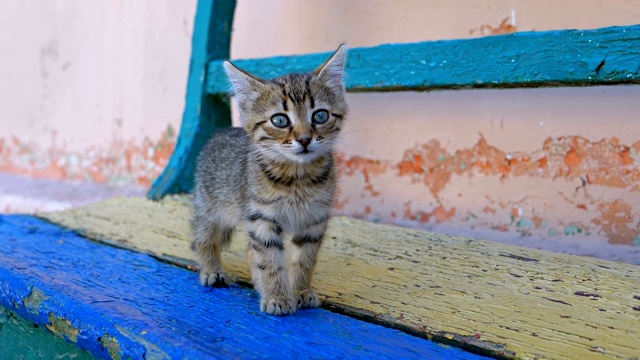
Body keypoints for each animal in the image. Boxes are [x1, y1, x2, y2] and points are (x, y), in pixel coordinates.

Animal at [191, 45, 348, 316]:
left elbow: (304, 259)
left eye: (320, 116)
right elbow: (270, 260)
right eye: (280, 120)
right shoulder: (262, 218)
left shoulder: (314, 219)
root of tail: (220, 132)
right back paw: (212, 269)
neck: (298, 178)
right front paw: (277, 296)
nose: (305, 139)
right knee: (205, 237)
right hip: (209, 207)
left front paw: (300, 290)